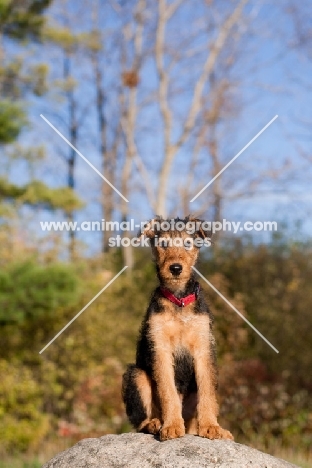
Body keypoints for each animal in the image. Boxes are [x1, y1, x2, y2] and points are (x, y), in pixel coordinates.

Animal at [122, 218, 234, 440]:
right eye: (163, 244)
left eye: (188, 243)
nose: (175, 268)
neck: (179, 299)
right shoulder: (160, 348)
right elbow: (168, 391)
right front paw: (172, 426)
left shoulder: (203, 347)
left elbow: (208, 392)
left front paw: (212, 427)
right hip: (136, 375)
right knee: (140, 420)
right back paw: (155, 424)